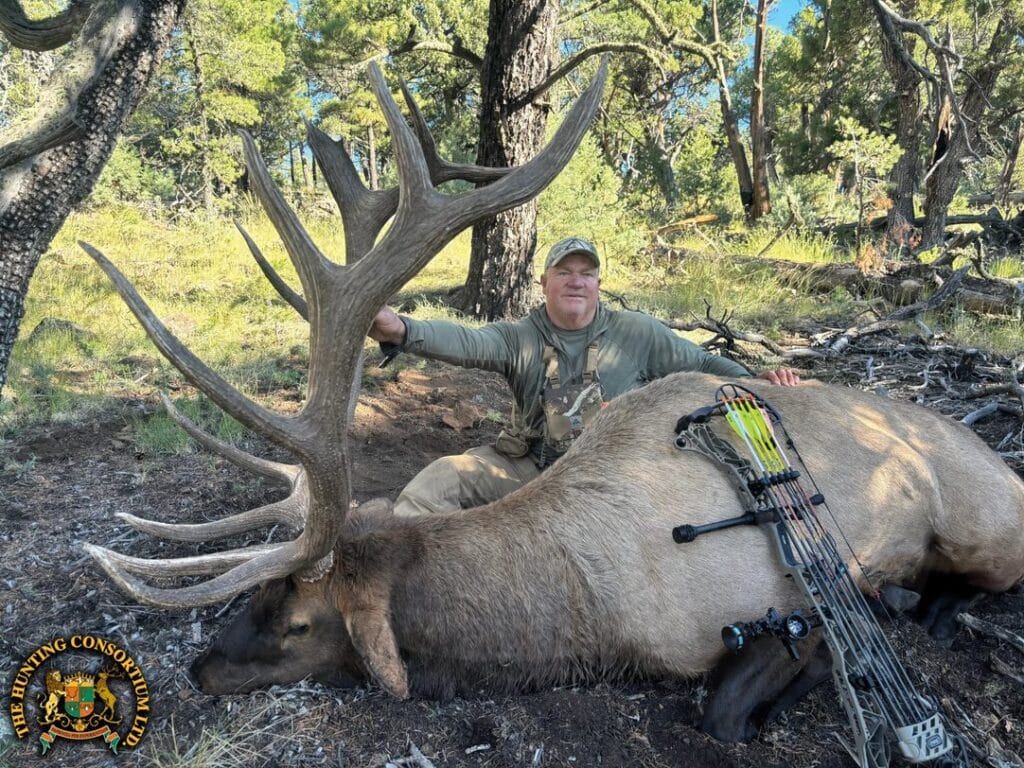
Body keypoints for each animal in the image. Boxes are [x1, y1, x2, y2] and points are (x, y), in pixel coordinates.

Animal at [78, 59, 1024, 744]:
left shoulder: (783, 615)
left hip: (982, 526)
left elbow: (729, 711)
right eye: (255, 601)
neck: (582, 615)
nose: (199, 669)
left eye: (299, 623)